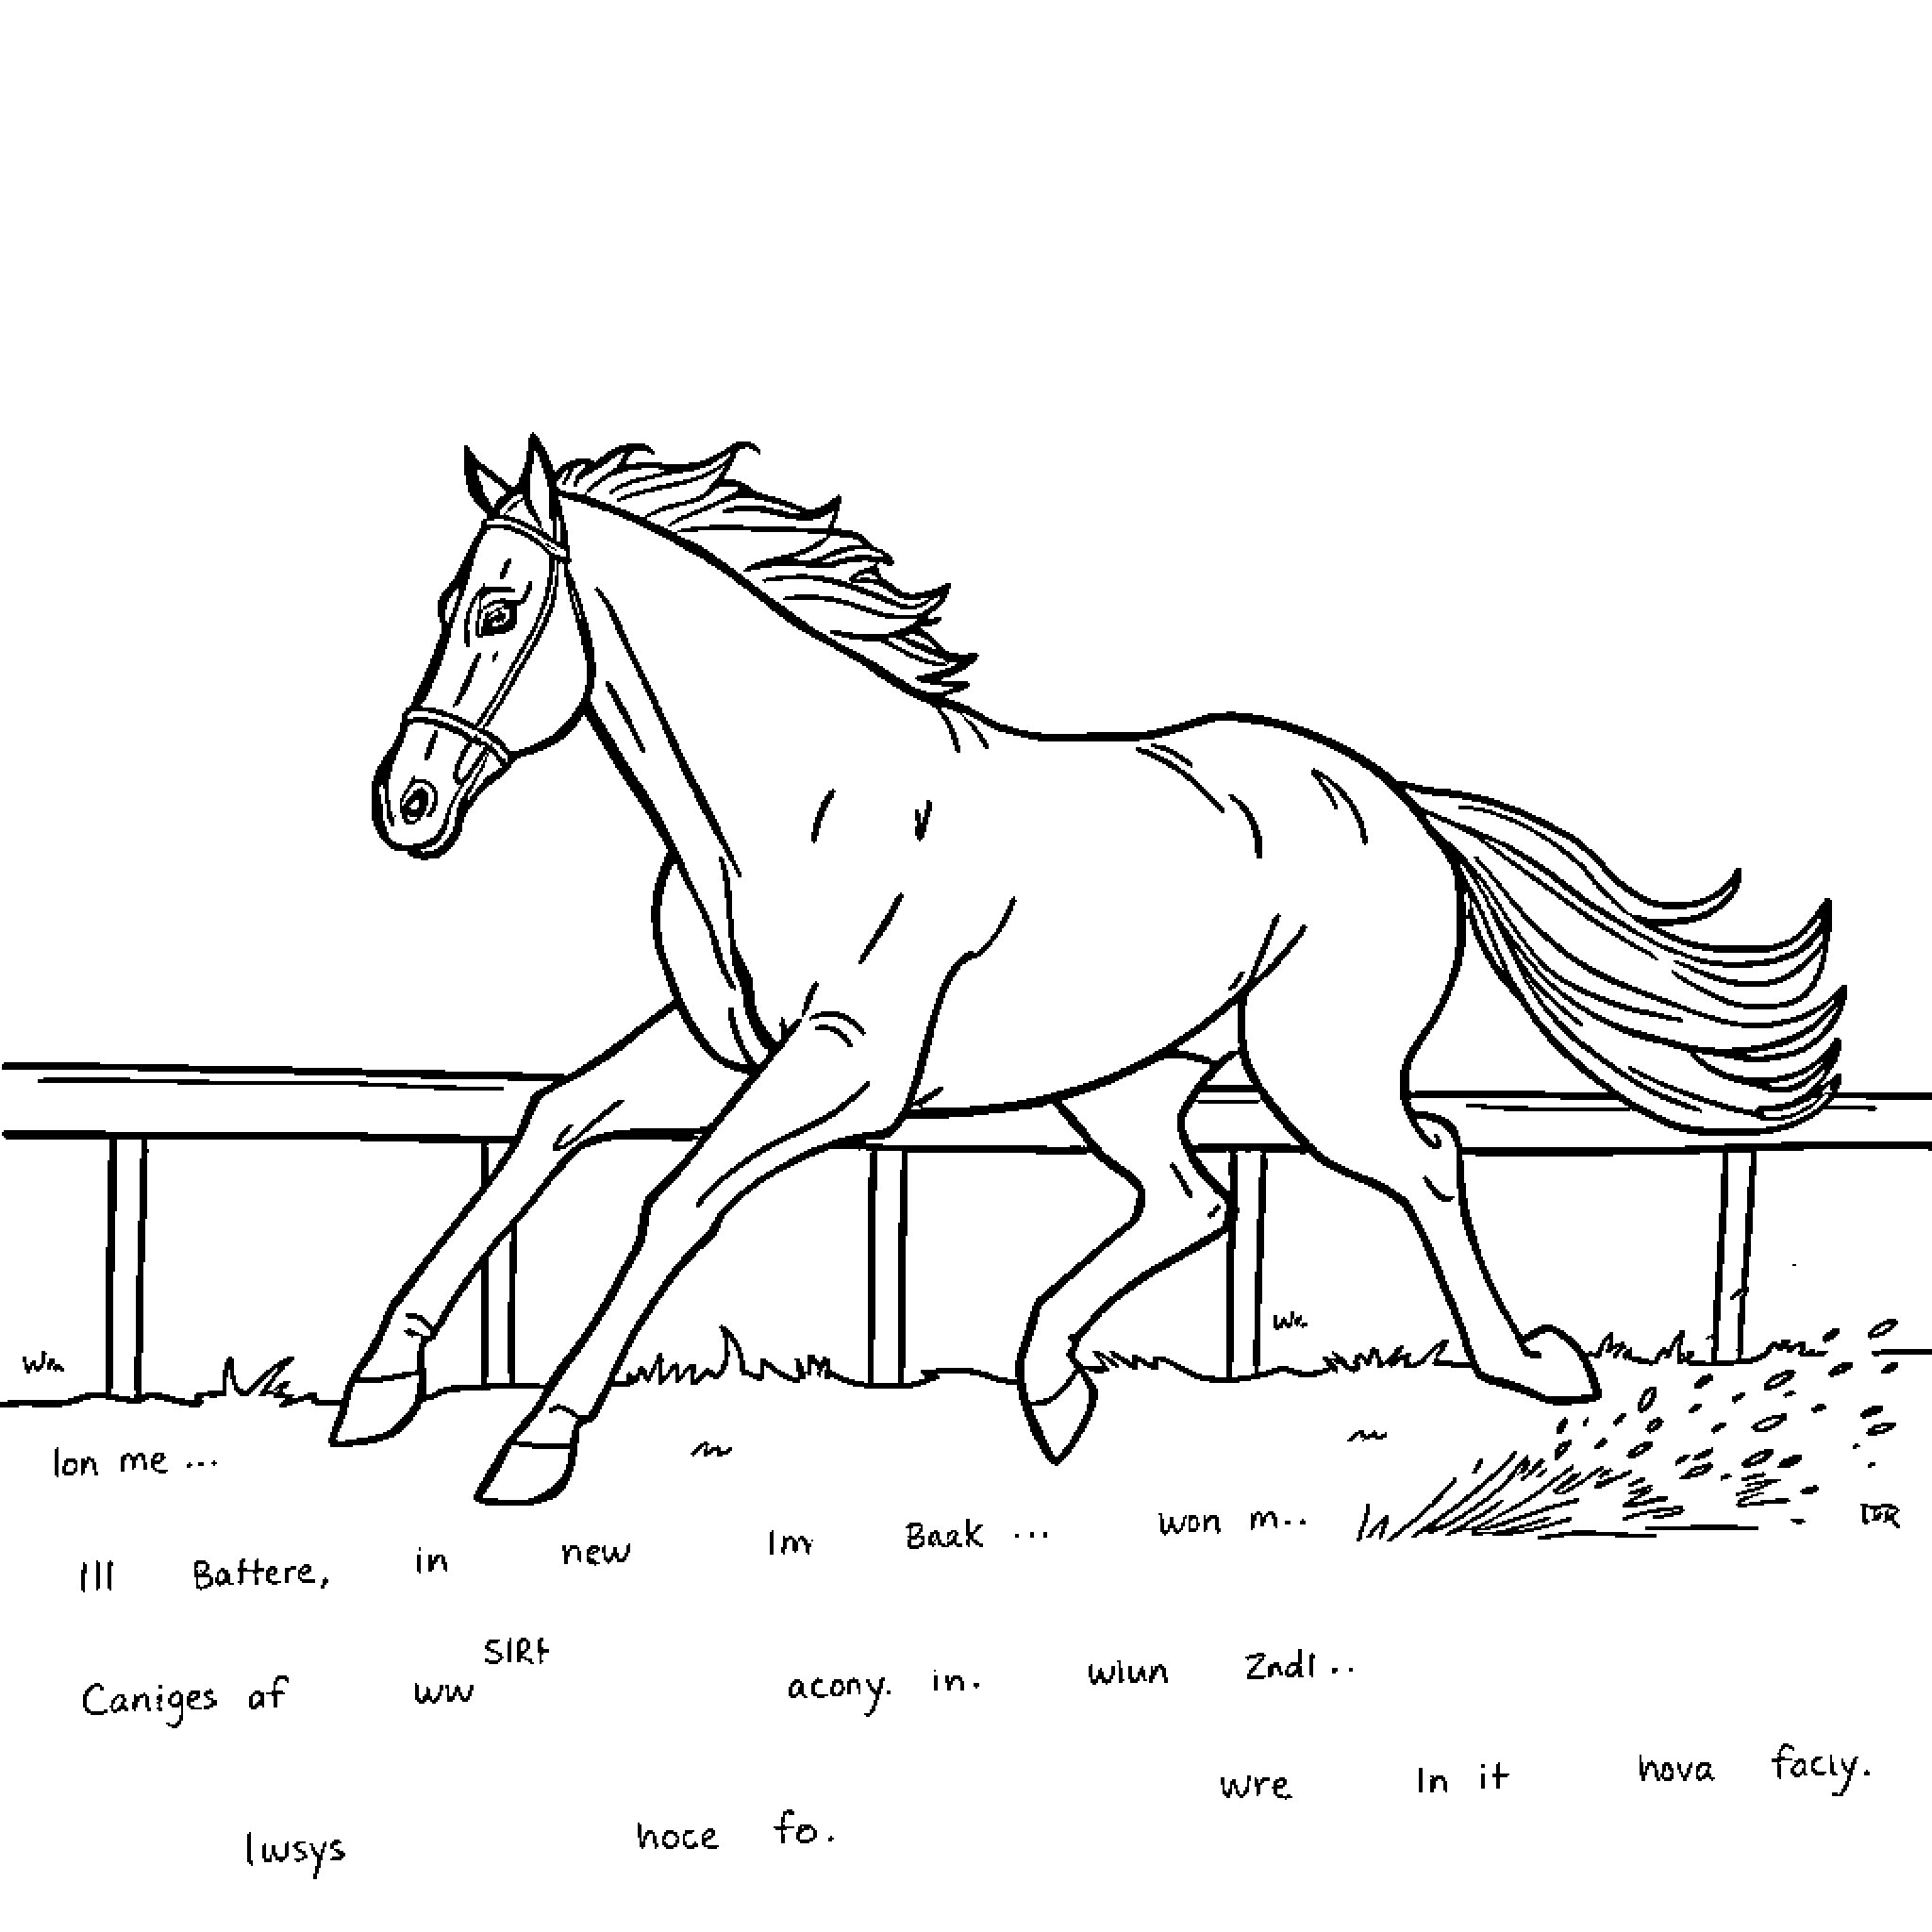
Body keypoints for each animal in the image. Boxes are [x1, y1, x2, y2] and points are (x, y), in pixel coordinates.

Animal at [331, 434, 1844, 1504]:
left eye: (498, 610)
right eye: (450, 601)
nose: (404, 804)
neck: (787, 806)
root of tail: (1397, 803)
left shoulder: (845, 1075)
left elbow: (673, 1199)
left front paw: (533, 1446)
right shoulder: (720, 1049)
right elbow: (550, 1121)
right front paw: (378, 1382)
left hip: (1317, 1074)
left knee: (1422, 1163)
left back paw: (1528, 1365)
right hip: (1119, 1083)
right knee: (1190, 1200)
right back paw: (1050, 1384)